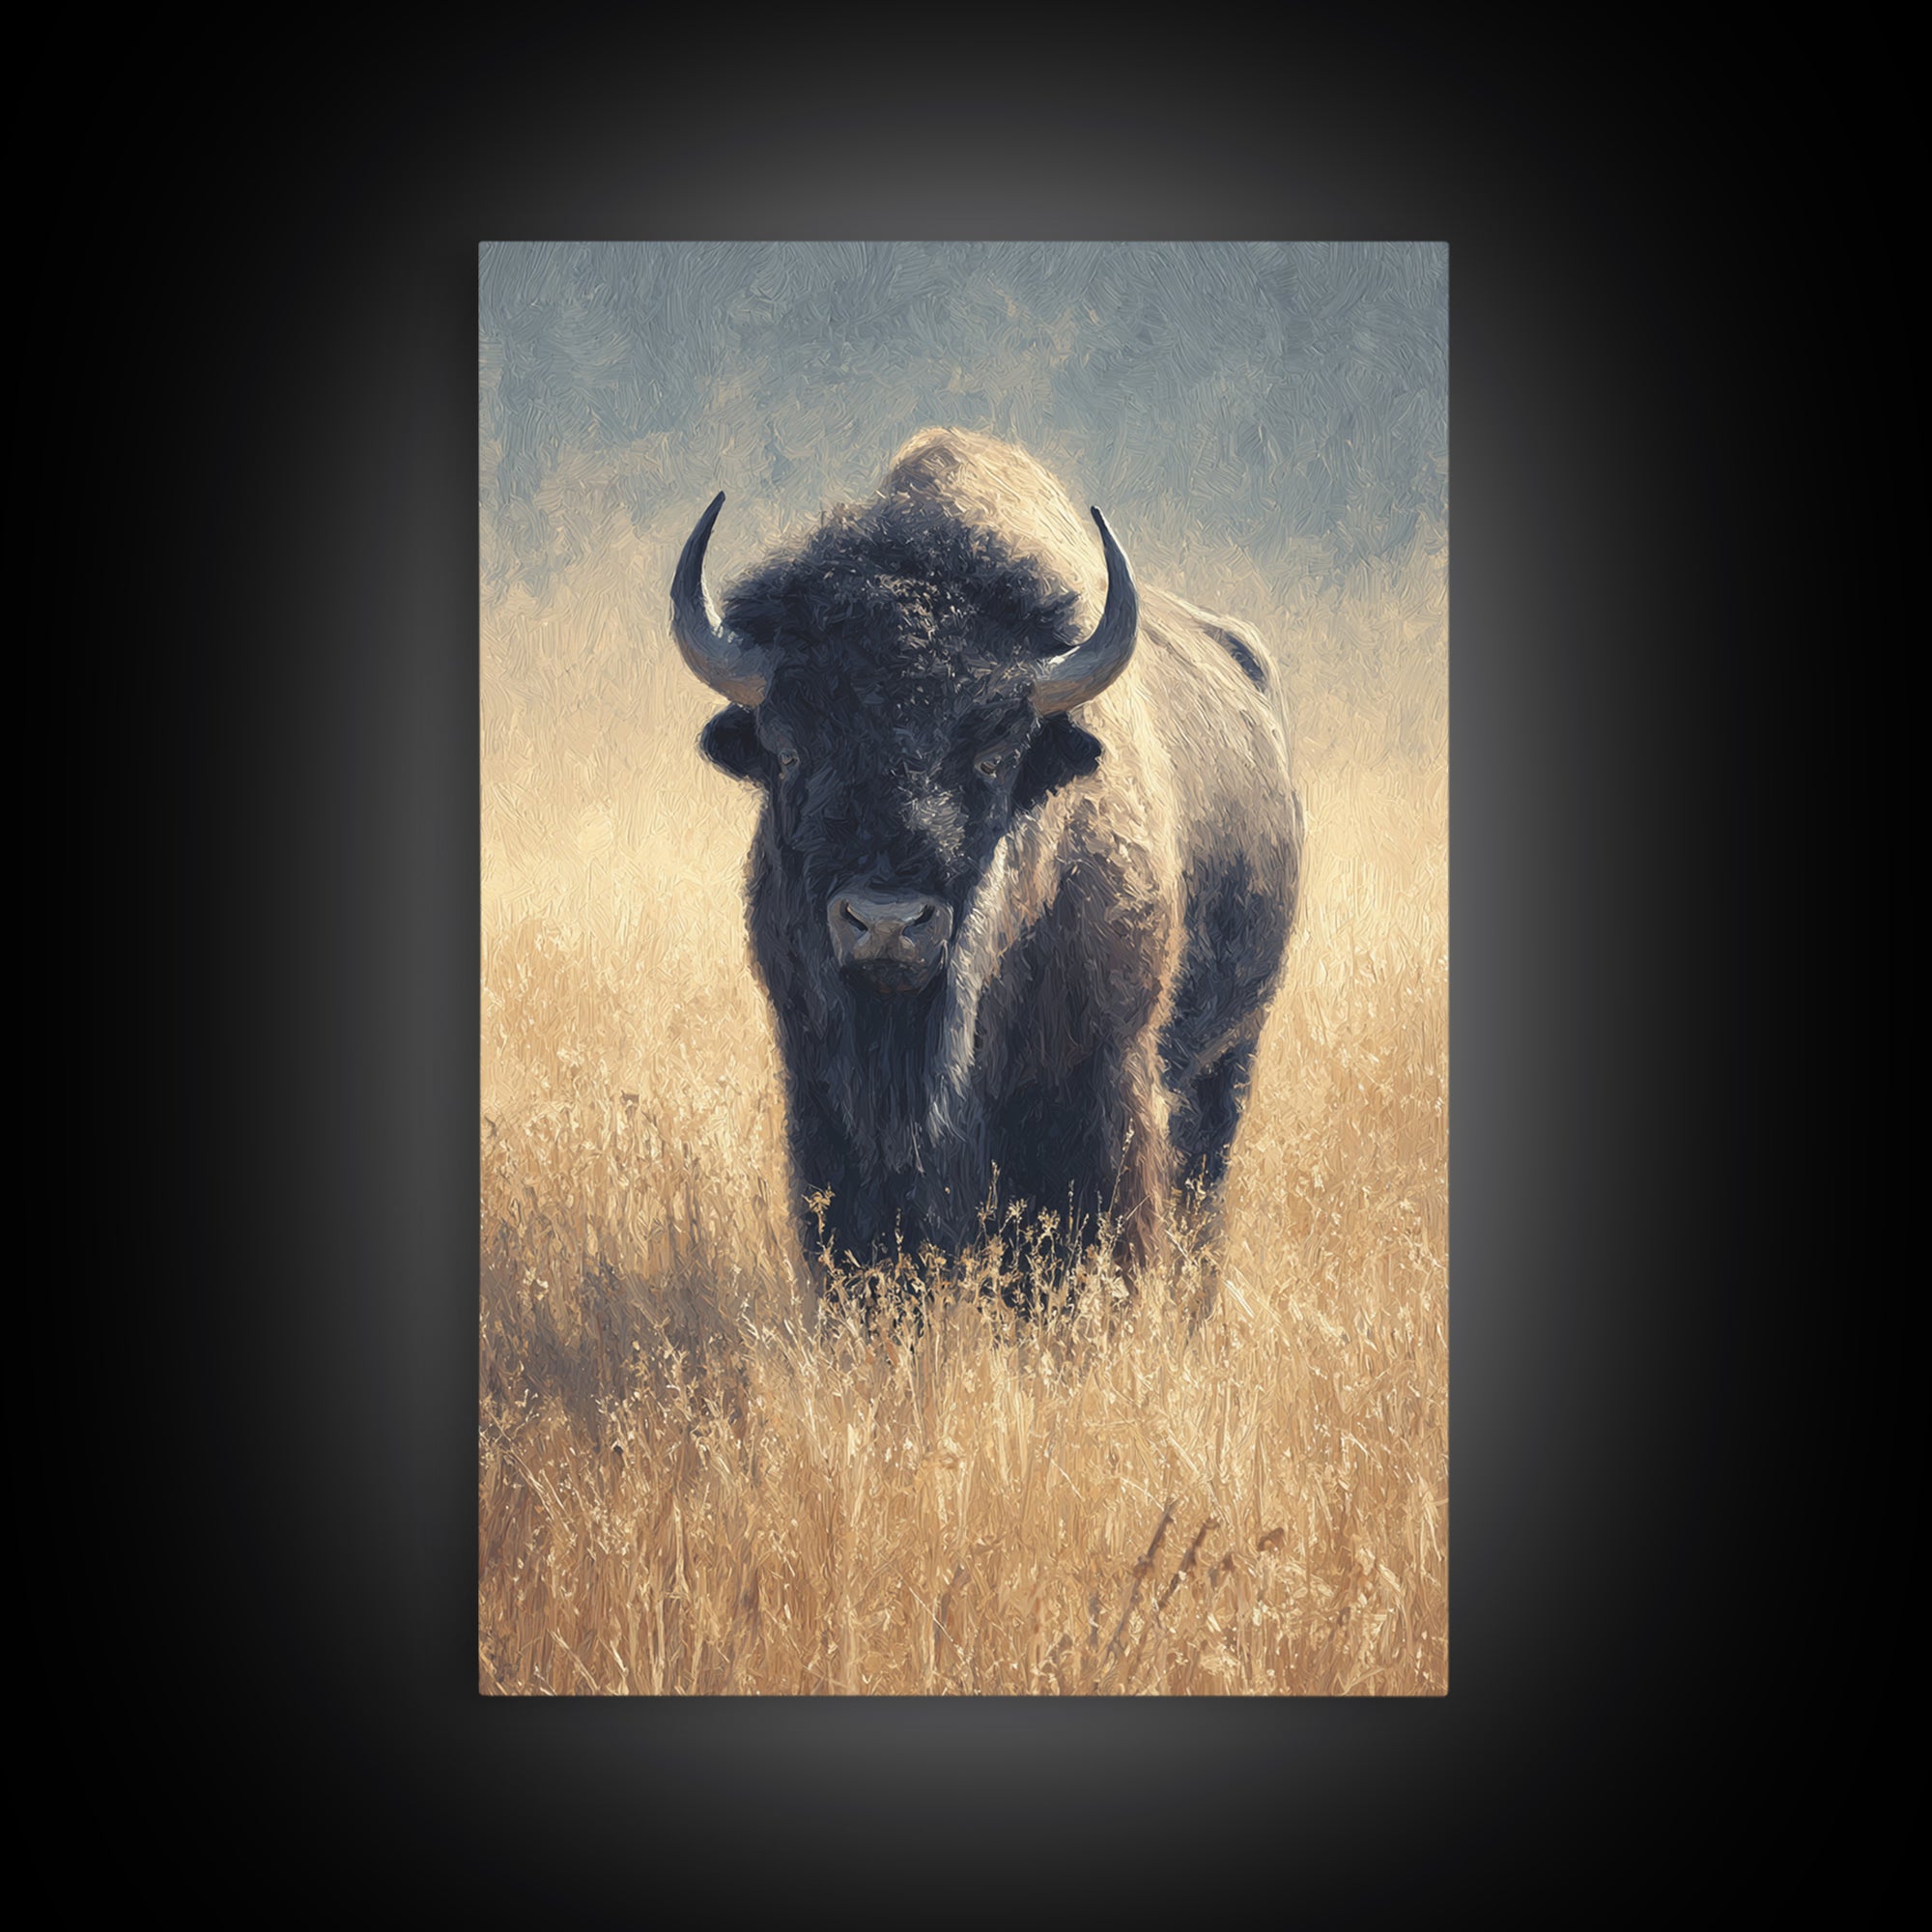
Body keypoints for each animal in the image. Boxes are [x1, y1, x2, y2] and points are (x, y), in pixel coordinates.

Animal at [669, 429, 1302, 1298]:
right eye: (790, 751)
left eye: (995, 756)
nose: (887, 924)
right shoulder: (820, 1087)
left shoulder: (1104, 1084)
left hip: (1229, 1056)